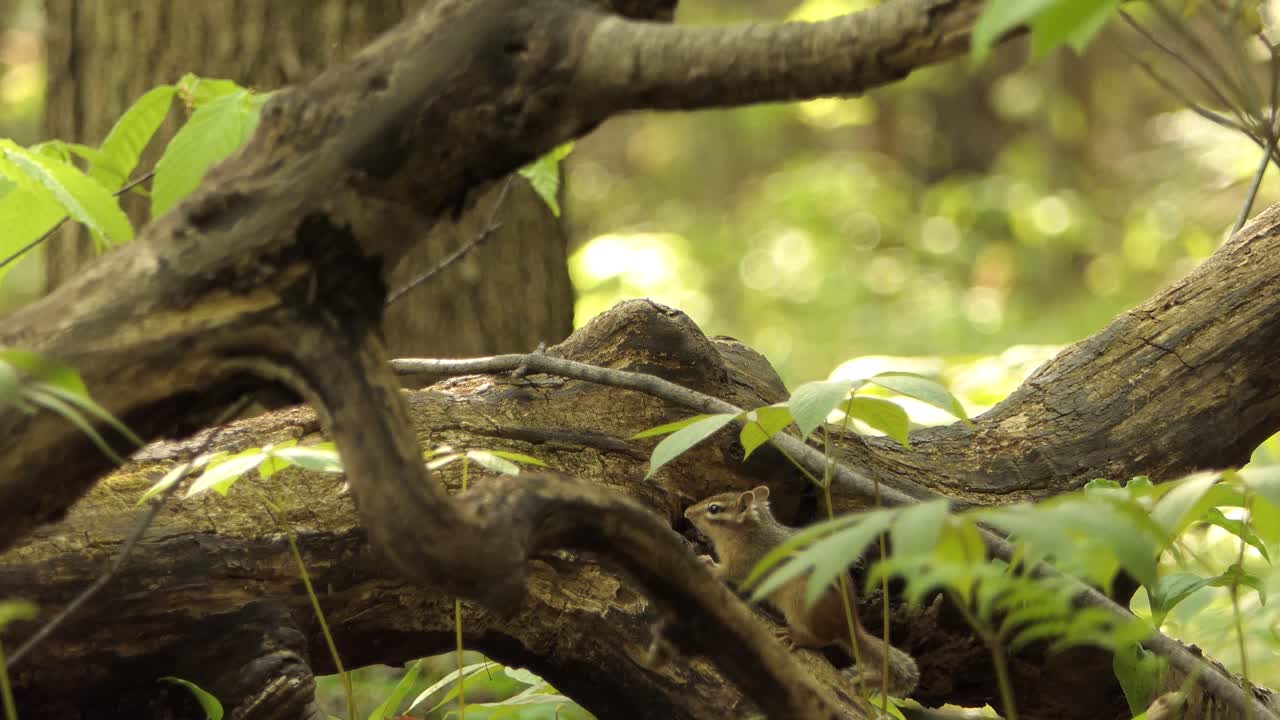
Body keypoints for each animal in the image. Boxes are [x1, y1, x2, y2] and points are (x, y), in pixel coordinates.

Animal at [684, 485, 920, 698]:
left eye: (714, 508)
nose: (687, 512)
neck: (752, 531)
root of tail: (849, 627)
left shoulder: (746, 564)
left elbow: (729, 573)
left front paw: (710, 566)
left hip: (800, 602)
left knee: (822, 640)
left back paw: (795, 636)